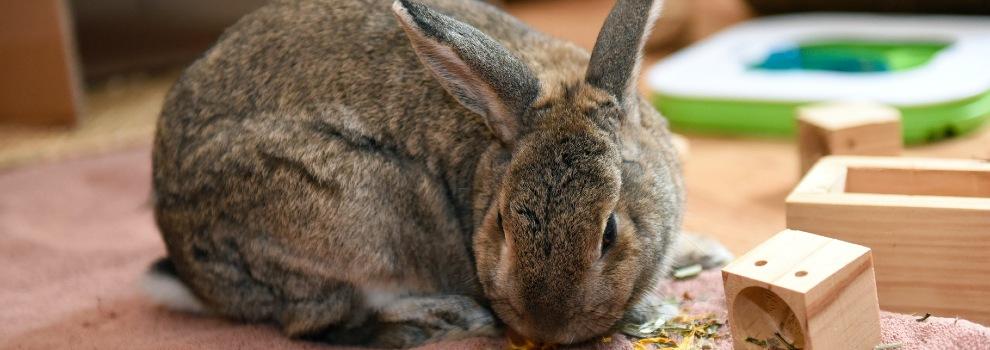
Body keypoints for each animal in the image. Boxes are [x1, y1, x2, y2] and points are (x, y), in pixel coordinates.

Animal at [147, 0, 732, 346]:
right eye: (501, 224)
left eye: (609, 232)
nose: (545, 326)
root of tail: (188, 268)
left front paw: (707, 253)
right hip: (362, 213)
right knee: (322, 318)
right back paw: (447, 316)